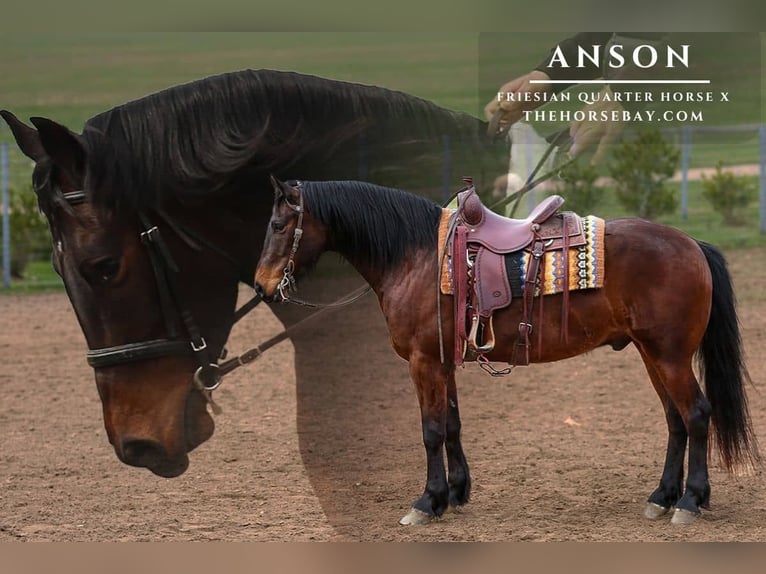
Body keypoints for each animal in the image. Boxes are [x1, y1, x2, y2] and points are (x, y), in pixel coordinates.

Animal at [254, 176, 759, 526]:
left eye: (279, 225)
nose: (261, 287)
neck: (416, 257)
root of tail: (691, 243)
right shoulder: (443, 361)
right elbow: (452, 425)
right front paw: (455, 493)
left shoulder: (423, 362)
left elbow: (431, 431)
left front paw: (427, 501)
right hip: (651, 354)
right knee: (676, 420)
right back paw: (662, 497)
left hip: (669, 356)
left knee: (696, 414)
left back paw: (690, 500)